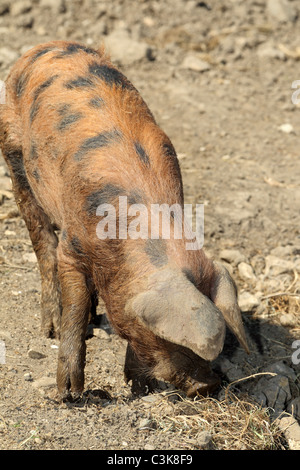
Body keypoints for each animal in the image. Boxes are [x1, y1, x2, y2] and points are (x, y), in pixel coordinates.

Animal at [0, 41, 248, 400]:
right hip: (13, 153)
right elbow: (73, 304)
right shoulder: (72, 245)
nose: (209, 384)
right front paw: (69, 394)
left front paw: (141, 385)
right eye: (169, 339)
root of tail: (41, 48)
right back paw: (49, 329)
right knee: (42, 240)